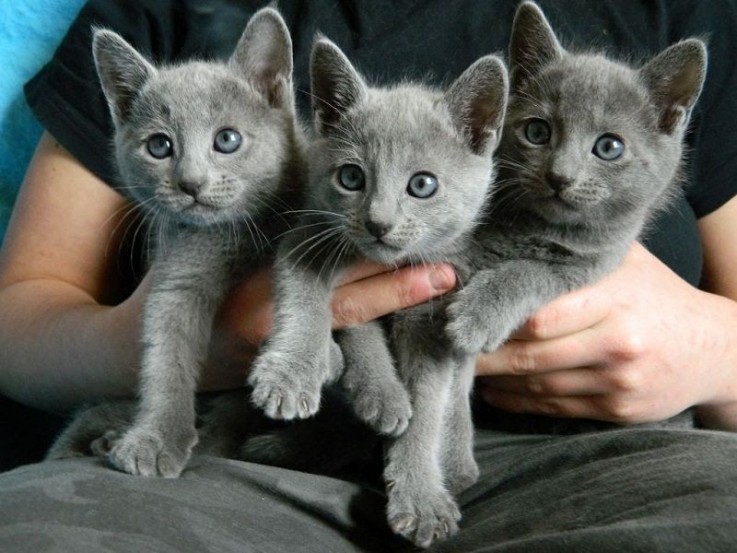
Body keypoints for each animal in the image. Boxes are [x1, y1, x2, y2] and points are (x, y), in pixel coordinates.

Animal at [83, 7, 304, 478]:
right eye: (158, 145)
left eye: (227, 139)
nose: (190, 183)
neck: (237, 231)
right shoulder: (177, 274)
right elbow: (166, 354)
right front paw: (155, 438)